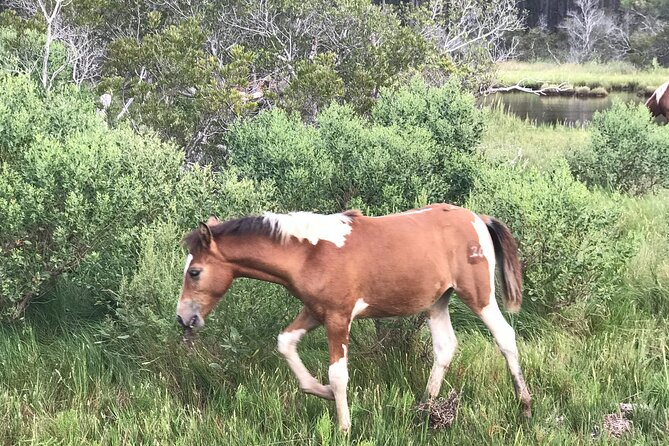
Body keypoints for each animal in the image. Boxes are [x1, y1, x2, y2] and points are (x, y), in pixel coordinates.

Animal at [177, 204, 532, 430]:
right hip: (437, 301)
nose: (183, 318)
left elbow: (338, 375)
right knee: (445, 347)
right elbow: (285, 343)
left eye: (195, 272)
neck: (309, 253)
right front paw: (321, 392)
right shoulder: (315, 311)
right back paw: (424, 412)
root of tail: (479, 219)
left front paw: (343, 427)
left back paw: (525, 406)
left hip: (479, 295)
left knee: (505, 337)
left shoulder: (338, 317)